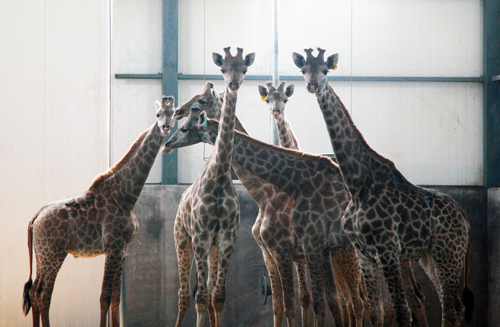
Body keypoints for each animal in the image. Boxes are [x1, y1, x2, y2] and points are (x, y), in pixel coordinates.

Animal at [23, 96, 176, 327]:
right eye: (158, 115)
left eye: (173, 113)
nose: (165, 126)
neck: (125, 195)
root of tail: (35, 217)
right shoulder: (113, 247)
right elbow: (104, 296)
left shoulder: (123, 250)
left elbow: (115, 299)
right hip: (54, 254)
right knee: (43, 294)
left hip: (42, 255)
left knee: (33, 292)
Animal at [164, 113, 364, 327]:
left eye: (184, 128)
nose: (168, 143)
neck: (266, 196)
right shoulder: (273, 254)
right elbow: (284, 303)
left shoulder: (288, 250)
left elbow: (295, 303)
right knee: (348, 300)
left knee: (358, 301)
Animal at [167, 46, 254, 327]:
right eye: (223, 68)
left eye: (200, 102)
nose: (177, 110)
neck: (218, 177)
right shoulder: (201, 236)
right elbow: (202, 295)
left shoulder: (226, 238)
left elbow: (218, 295)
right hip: (182, 239)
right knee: (186, 293)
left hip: (211, 247)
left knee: (206, 290)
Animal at [292, 48, 474, 327]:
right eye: (303, 70)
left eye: (325, 70)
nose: (313, 85)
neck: (357, 184)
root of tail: (465, 218)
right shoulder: (365, 253)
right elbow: (376, 311)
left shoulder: (388, 250)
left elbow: (401, 311)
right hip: (431, 257)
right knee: (453, 304)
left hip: (448, 254)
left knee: (451, 307)